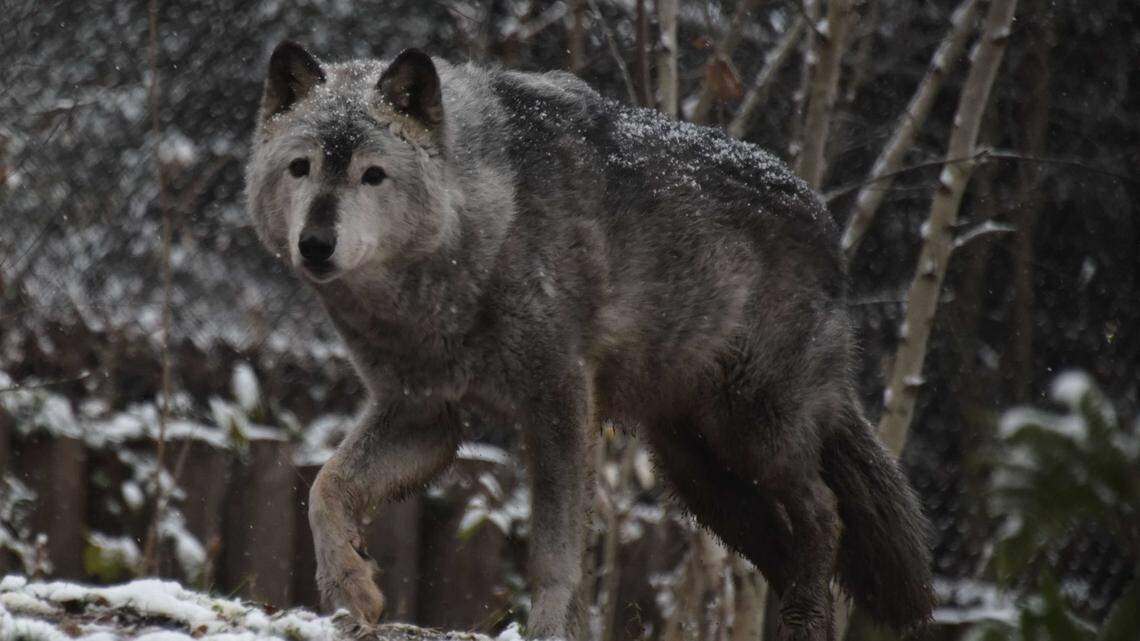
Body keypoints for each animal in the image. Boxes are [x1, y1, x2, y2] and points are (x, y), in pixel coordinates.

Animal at [245, 41, 934, 641]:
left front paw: (551, 630)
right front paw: (350, 588)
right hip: (699, 476)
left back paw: (805, 624)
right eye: (301, 168)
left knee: (824, 515)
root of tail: (827, 224)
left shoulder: (558, 403)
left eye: (373, 175)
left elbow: (554, 555)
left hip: (756, 442)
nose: (315, 244)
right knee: (783, 544)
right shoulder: (424, 416)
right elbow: (324, 487)